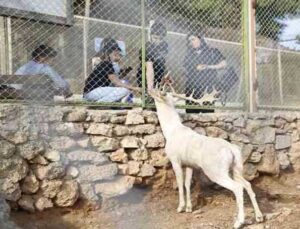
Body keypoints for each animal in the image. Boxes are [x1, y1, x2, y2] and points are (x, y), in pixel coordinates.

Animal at [149, 87, 262, 229]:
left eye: (158, 91)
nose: (150, 89)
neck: (170, 132)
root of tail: (232, 150)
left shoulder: (175, 159)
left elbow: (180, 183)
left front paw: (180, 207)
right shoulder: (189, 164)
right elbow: (187, 184)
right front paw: (189, 208)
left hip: (215, 171)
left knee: (237, 187)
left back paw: (238, 222)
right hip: (236, 168)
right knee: (247, 184)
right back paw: (259, 217)